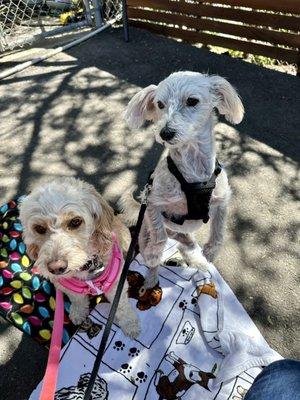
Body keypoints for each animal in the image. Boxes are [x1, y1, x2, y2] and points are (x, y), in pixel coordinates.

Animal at [19, 178, 141, 338]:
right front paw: (78, 313)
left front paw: (130, 324)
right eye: (39, 228)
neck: (86, 266)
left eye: (75, 221)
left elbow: (121, 306)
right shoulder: (67, 287)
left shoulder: (116, 285)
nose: (56, 267)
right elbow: (77, 300)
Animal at [122, 72, 244, 290]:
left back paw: (197, 259)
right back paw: (151, 278)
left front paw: (210, 252)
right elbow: (159, 236)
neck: (194, 173)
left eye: (192, 101)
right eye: (160, 104)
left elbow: (219, 231)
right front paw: (154, 253)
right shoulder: (152, 202)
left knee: (185, 245)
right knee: (160, 244)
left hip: (184, 236)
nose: (165, 133)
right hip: (144, 233)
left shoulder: (222, 200)